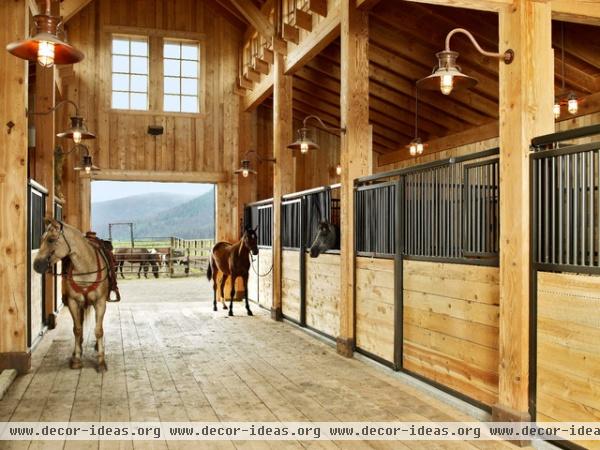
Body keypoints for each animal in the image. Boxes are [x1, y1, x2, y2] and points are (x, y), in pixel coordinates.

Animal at [33, 219, 115, 372]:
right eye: (41, 239)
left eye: (51, 239)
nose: (36, 265)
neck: (85, 268)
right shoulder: (73, 302)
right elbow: (76, 329)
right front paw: (76, 358)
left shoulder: (100, 303)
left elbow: (98, 330)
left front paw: (101, 361)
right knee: (80, 324)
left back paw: (96, 346)